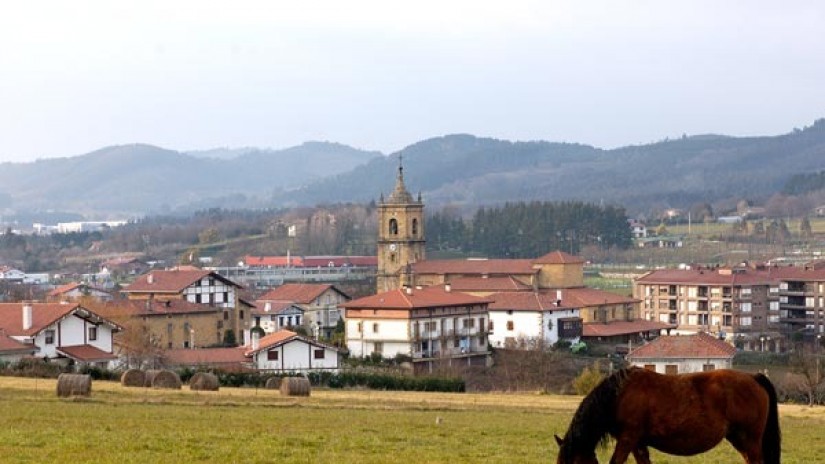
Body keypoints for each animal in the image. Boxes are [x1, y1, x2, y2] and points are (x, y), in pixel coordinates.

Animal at [552, 366, 780, 464]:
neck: (619, 395)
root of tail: (754, 377)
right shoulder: (637, 443)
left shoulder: (627, 440)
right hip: (740, 440)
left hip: (750, 440)